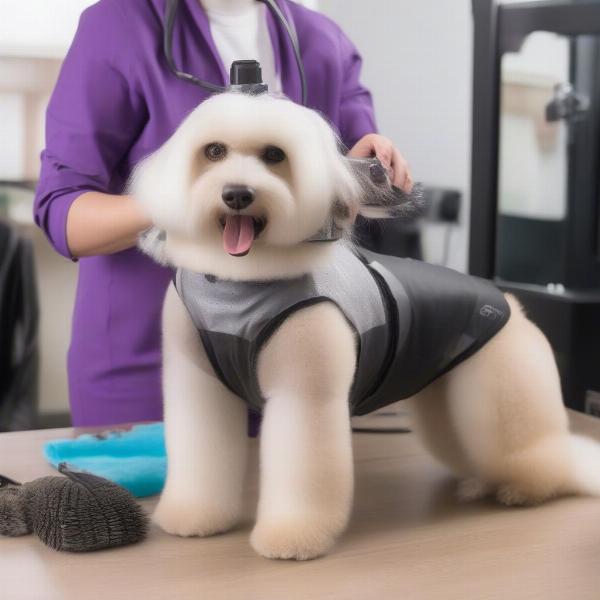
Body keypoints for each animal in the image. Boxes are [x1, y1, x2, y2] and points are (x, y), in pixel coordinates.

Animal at [134, 91, 600, 560]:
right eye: (214, 152)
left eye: (274, 155)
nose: (236, 194)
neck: (239, 285)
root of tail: (510, 303)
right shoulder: (198, 385)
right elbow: (201, 452)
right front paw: (194, 517)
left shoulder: (305, 394)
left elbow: (301, 467)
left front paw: (292, 537)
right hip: (448, 396)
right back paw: (482, 482)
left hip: (501, 390)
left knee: (542, 452)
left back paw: (529, 489)